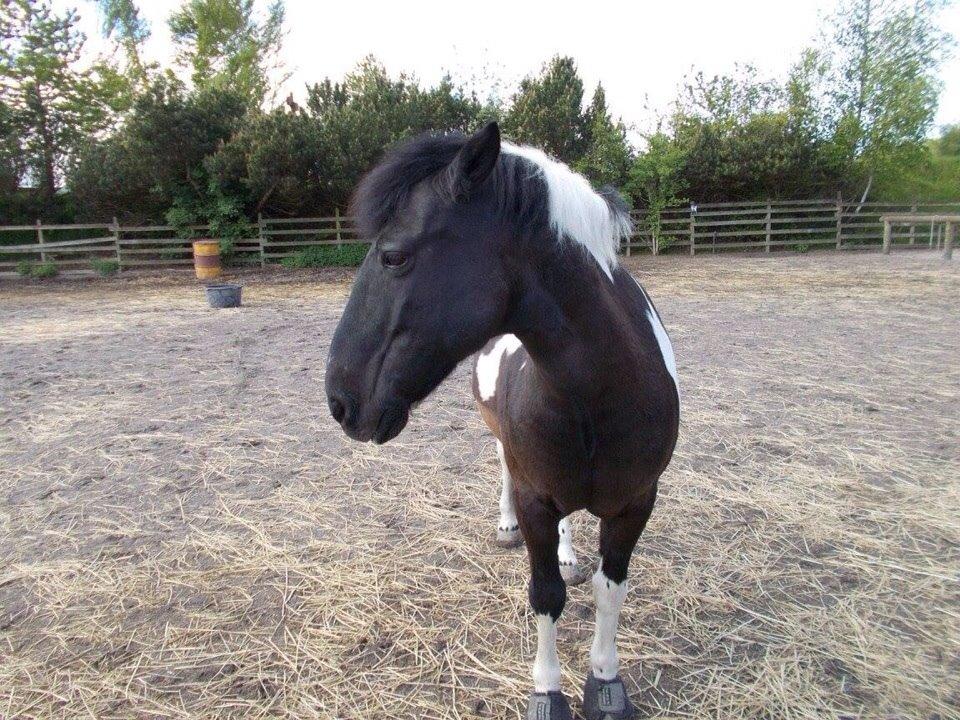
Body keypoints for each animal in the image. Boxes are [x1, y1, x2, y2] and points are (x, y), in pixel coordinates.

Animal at [325, 122, 679, 720]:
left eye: (394, 257)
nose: (339, 401)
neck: (601, 395)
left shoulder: (635, 502)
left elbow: (609, 589)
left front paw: (605, 681)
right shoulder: (537, 494)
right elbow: (546, 594)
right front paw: (548, 691)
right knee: (504, 474)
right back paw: (508, 527)